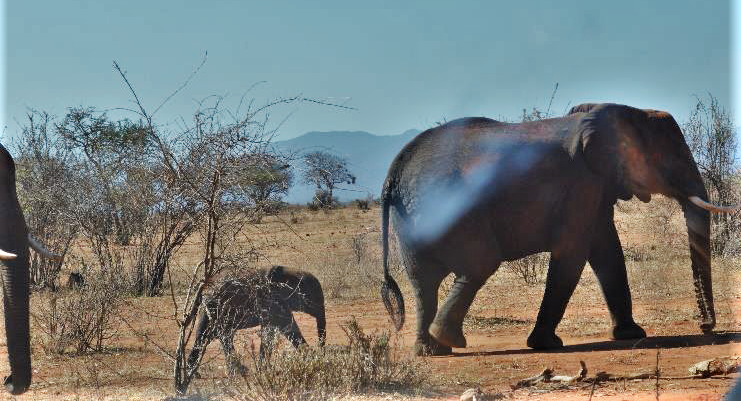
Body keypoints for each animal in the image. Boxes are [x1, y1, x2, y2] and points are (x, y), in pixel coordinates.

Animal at [186, 266, 326, 375]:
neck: (290, 272)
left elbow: (270, 332)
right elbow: (288, 327)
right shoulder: (273, 299)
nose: (321, 351)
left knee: (210, 335)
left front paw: (263, 370)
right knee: (214, 335)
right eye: (311, 298)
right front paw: (312, 359)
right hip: (215, 305)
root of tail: (204, 286)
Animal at [379, 103, 736, 356]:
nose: (705, 327)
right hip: (449, 205)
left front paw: (632, 335)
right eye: (668, 156)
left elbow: (607, 250)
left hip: (413, 217)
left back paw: (432, 350)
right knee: (479, 265)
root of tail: (393, 174)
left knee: (422, 282)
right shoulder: (580, 183)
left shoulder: (596, 185)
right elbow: (573, 253)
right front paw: (547, 344)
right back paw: (450, 340)